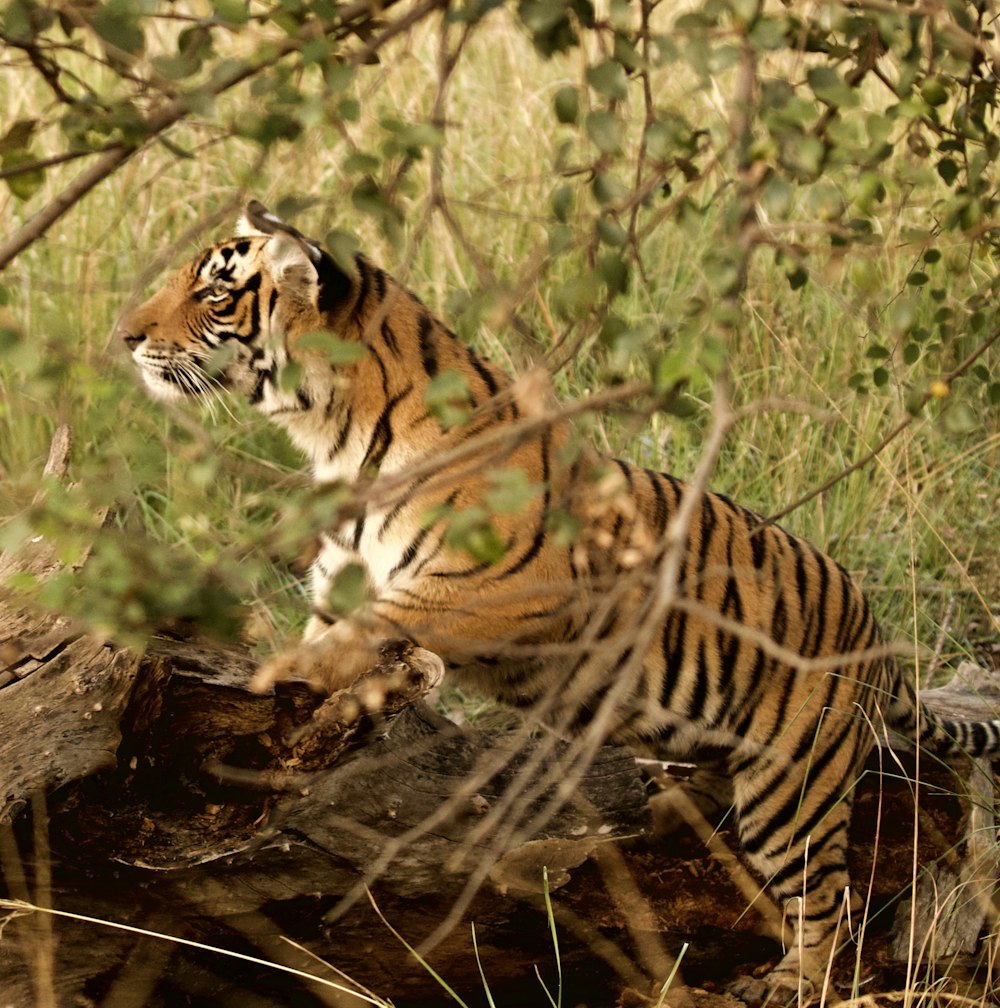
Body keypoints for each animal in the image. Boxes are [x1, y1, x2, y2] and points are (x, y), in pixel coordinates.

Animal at [118, 200, 1000, 1003]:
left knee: (828, 900)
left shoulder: (501, 585)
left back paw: (793, 981)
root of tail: (877, 633)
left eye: (215, 292)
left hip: (796, 790)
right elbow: (338, 641)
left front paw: (267, 680)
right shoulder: (342, 585)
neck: (332, 435)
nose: (124, 336)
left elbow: (371, 630)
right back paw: (666, 809)